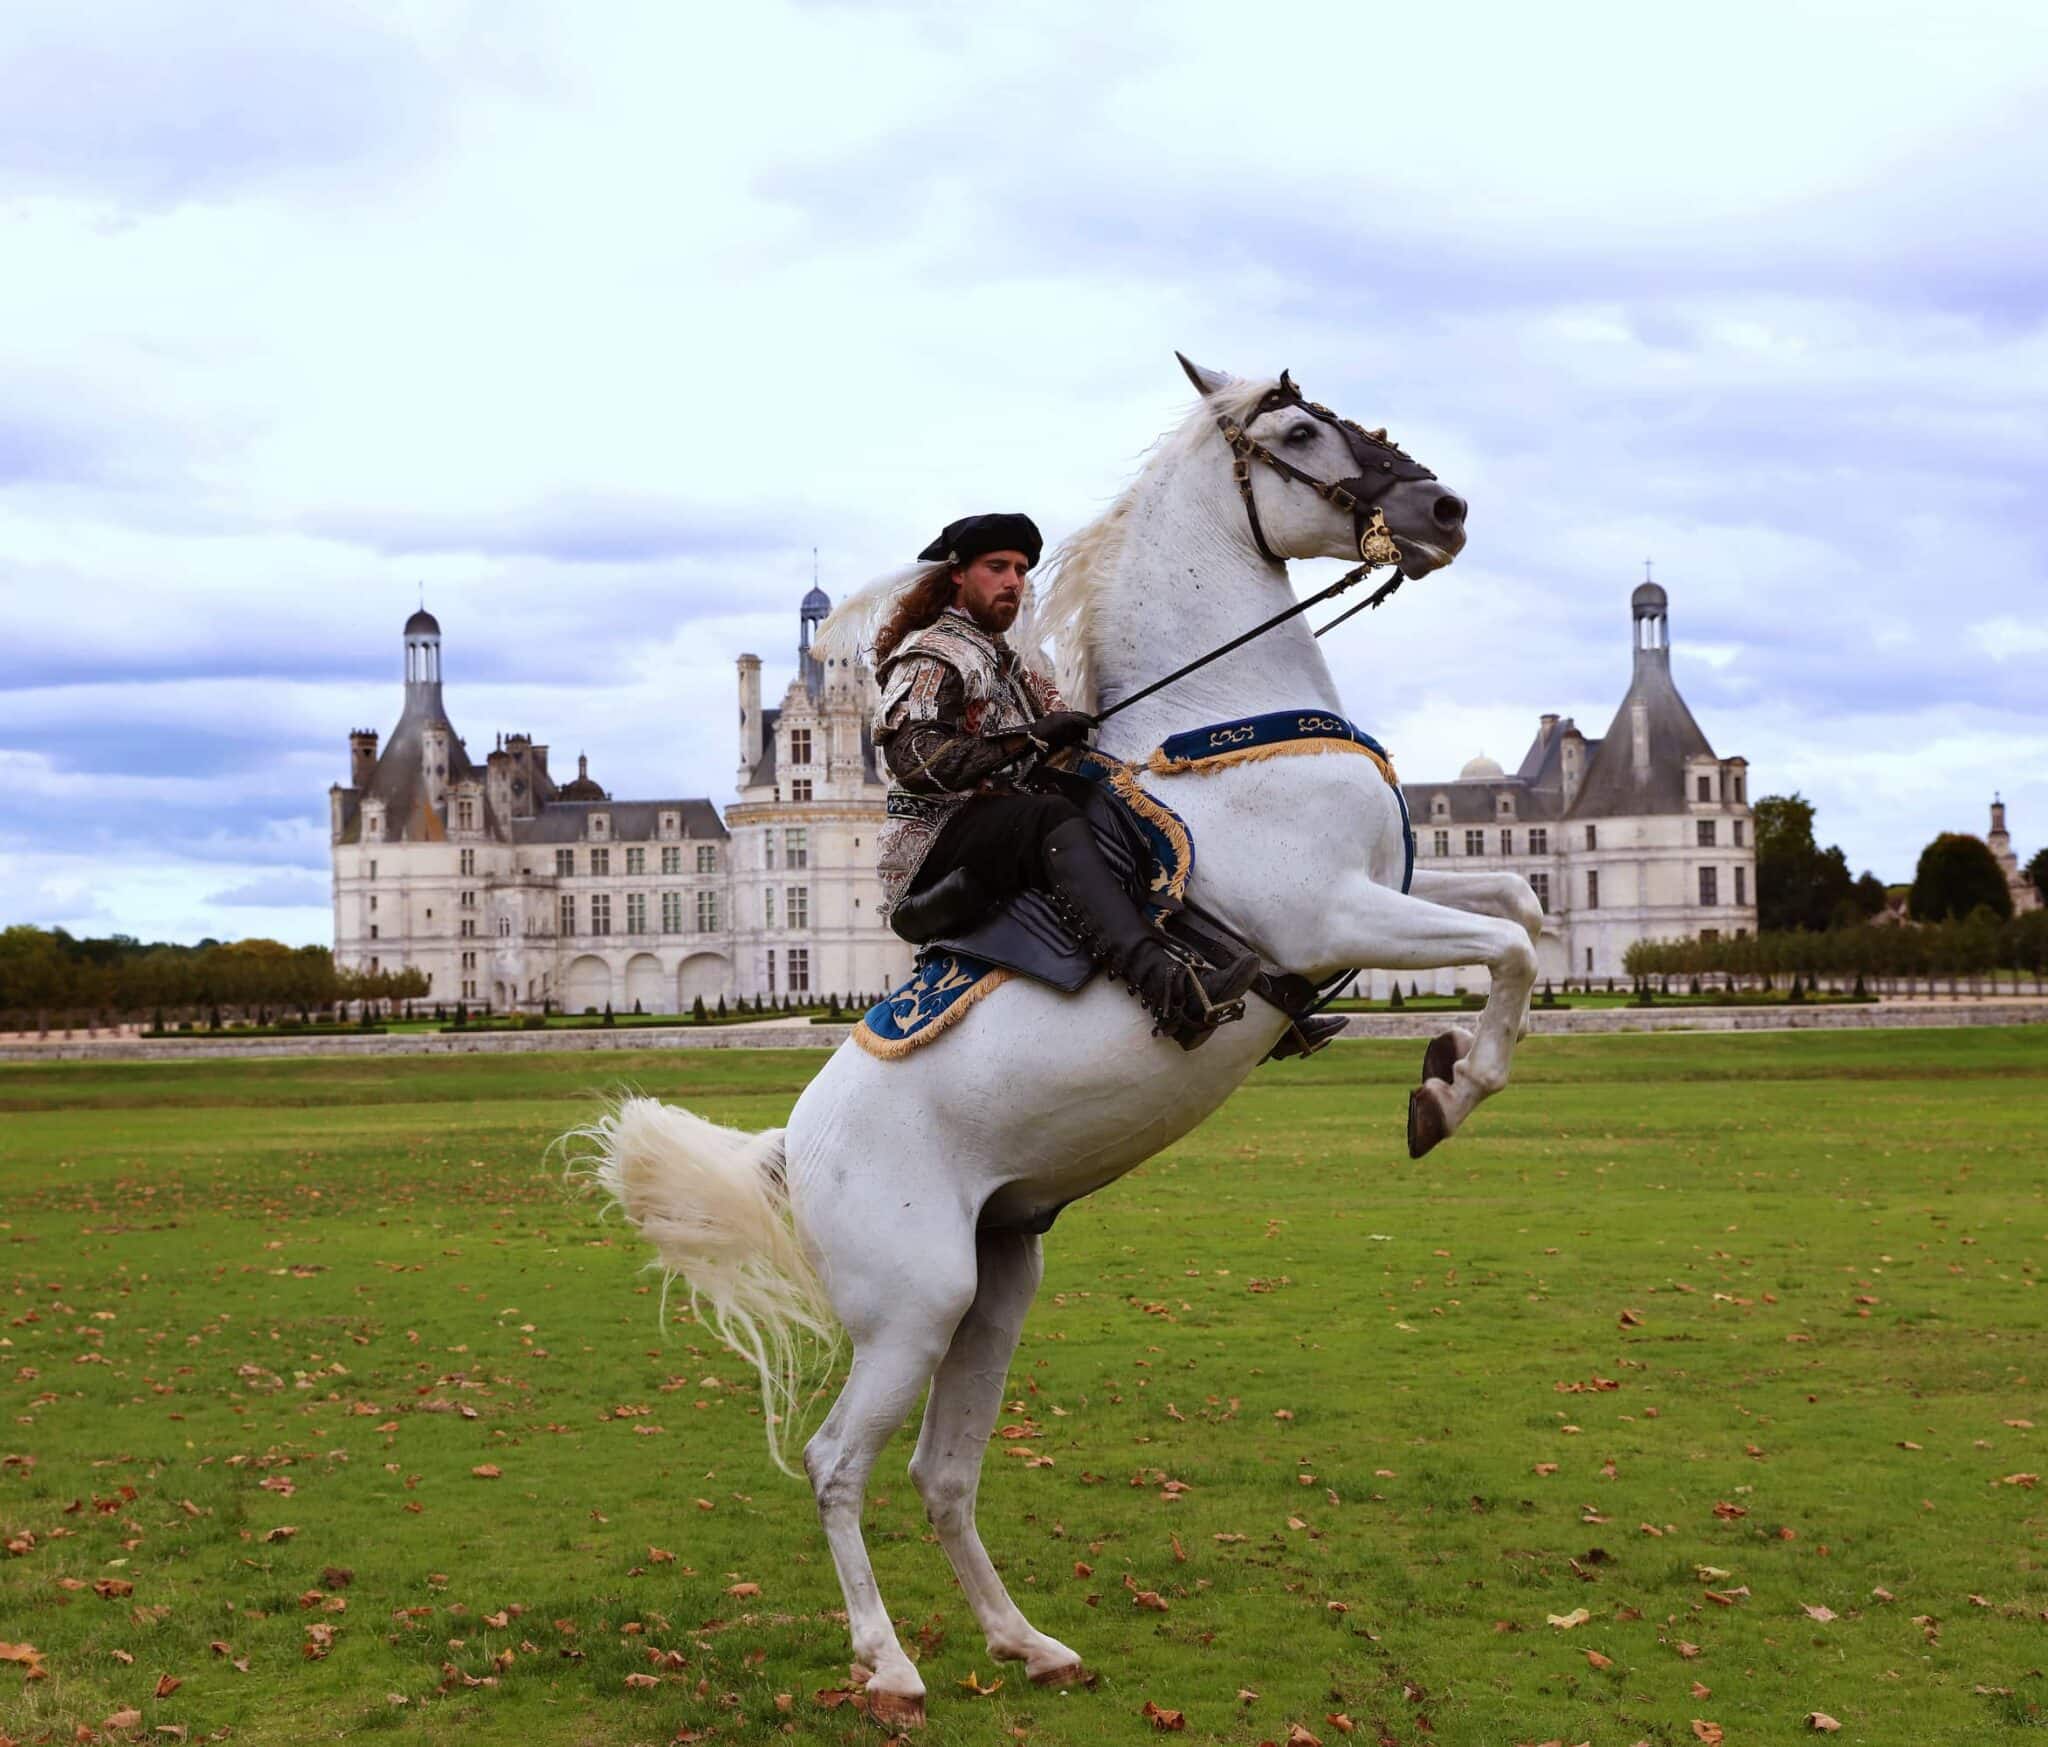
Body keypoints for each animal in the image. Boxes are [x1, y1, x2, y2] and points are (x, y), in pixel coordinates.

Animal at [577, 358, 1540, 1728]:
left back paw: (1025, 1640)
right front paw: (1446, 1092)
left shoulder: (1387, 896)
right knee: (833, 1462)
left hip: (996, 1287)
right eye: (1301, 431)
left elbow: (1522, 907)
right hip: (914, 1304)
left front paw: (1448, 1065)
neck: (1225, 724)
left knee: (940, 1473)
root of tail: (787, 1148)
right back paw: (890, 1662)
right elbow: (1512, 947)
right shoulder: (1328, 913)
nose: (1445, 510)